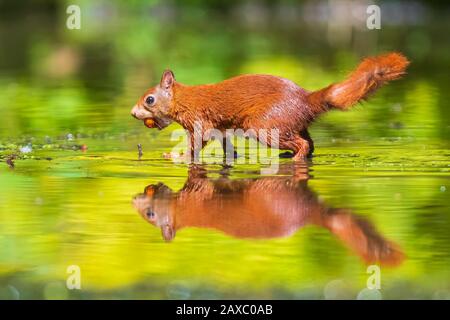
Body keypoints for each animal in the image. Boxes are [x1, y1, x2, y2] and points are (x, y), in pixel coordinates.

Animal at [131, 52, 412, 160]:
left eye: (149, 99)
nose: (133, 113)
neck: (187, 99)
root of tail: (305, 98)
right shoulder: (220, 128)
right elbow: (227, 148)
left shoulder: (201, 121)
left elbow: (195, 145)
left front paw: (174, 156)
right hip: (295, 124)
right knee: (310, 143)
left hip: (264, 126)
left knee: (303, 145)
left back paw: (293, 158)